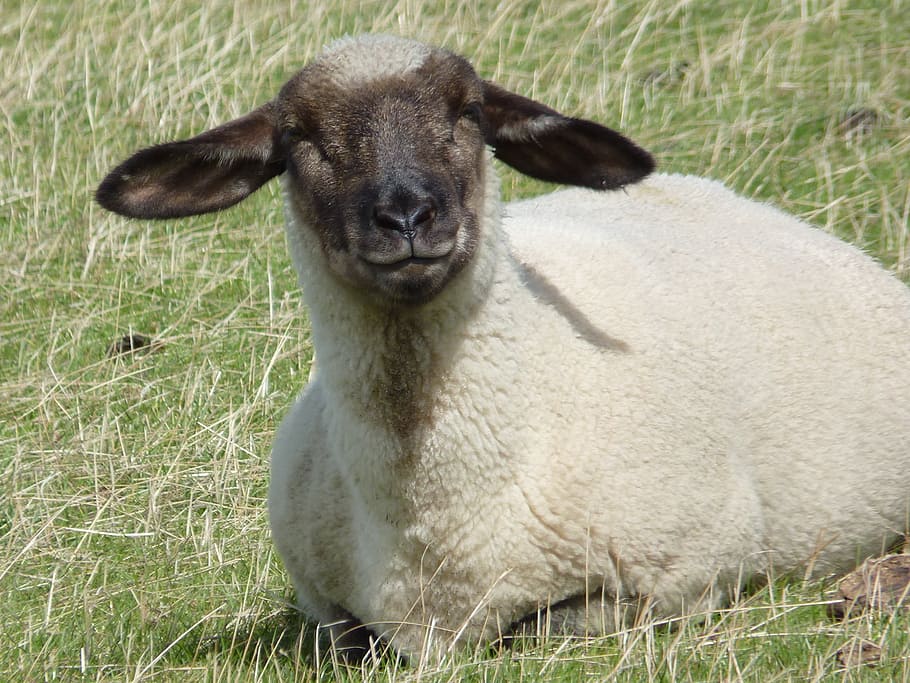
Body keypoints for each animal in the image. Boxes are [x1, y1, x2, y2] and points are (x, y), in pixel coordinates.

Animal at [96, 34, 910, 661]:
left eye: (470, 112)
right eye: (298, 138)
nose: (407, 216)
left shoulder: (691, 570)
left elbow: (542, 625)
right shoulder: (329, 607)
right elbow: (360, 639)